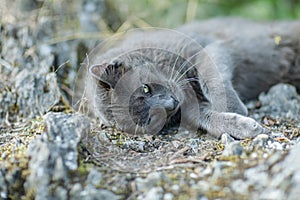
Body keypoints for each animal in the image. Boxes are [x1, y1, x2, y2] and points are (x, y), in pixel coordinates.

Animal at [84, 18, 300, 138]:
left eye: (145, 88)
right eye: (150, 119)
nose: (171, 104)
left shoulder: (208, 48)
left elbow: (211, 78)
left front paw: (234, 107)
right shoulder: (190, 108)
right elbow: (205, 118)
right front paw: (244, 126)